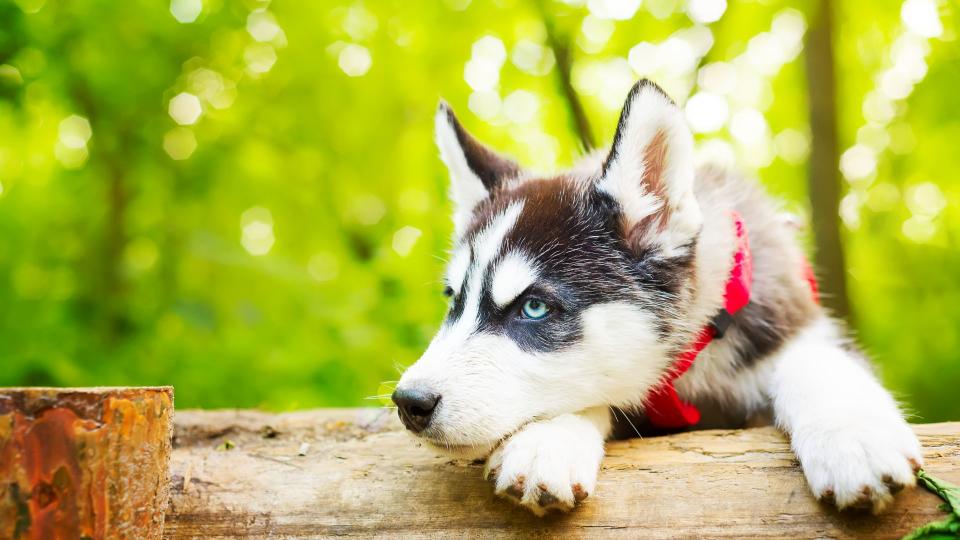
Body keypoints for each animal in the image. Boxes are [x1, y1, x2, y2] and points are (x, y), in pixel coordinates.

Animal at [392, 79, 924, 516]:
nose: (408, 401)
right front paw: (549, 438)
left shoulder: (794, 324)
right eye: (453, 299)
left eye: (534, 307)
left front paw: (853, 432)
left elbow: (814, 359)